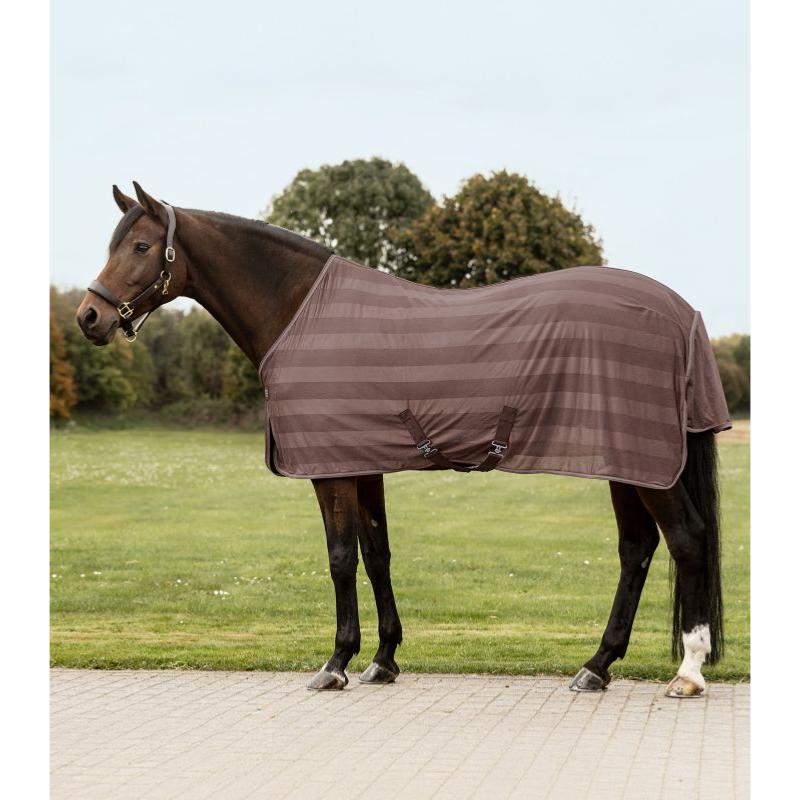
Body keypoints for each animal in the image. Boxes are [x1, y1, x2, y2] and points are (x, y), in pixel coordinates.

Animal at [76, 182, 727, 697]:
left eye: (140, 247)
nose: (89, 317)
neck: (301, 310)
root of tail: (682, 313)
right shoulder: (364, 463)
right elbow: (377, 554)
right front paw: (383, 661)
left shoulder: (331, 469)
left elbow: (340, 558)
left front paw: (336, 662)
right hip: (627, 462)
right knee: (637, 549)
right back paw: (596, 666)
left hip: (647, 464)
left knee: (687, 539)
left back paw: (688, 672)